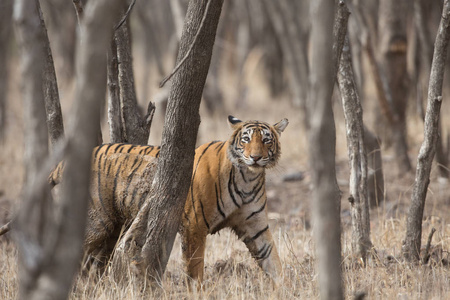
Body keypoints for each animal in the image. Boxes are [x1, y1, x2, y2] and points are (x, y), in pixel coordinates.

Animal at [49, 115, 288, 284]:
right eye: (246, 139)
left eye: (266, 140)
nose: (255, 157)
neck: (247, 178)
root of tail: (61, 164)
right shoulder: (195, 226)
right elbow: (195, 269)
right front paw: (197, 292)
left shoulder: (255, 226)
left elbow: (272, 261)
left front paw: (283, 288)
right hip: (96, 224)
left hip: (111, 232)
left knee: (93, 265)